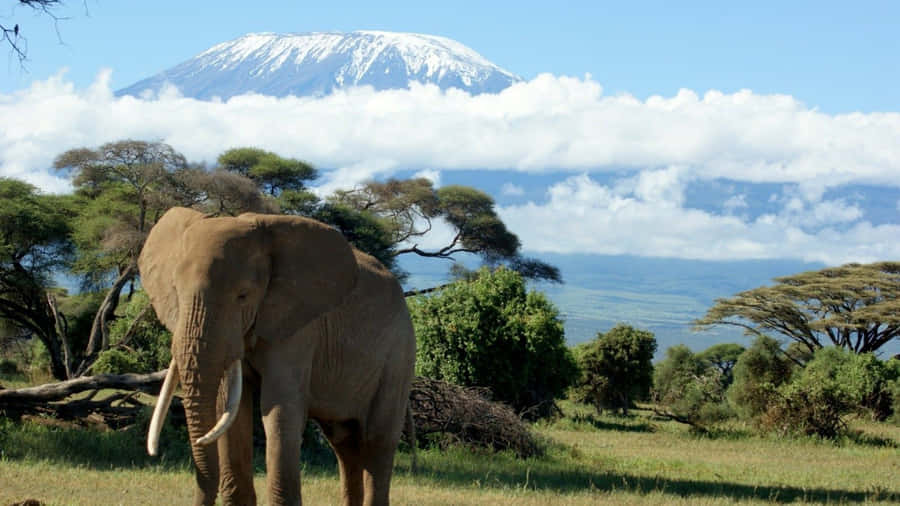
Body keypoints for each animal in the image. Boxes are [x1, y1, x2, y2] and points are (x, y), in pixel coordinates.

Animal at [139, 207, 416, 506]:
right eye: (176, 292)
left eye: (243, 296)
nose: (200, 442)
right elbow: (230, 407)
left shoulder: (299, 328)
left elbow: (279, 408)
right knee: (345, 444)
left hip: (399, 355)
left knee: (377, 440)